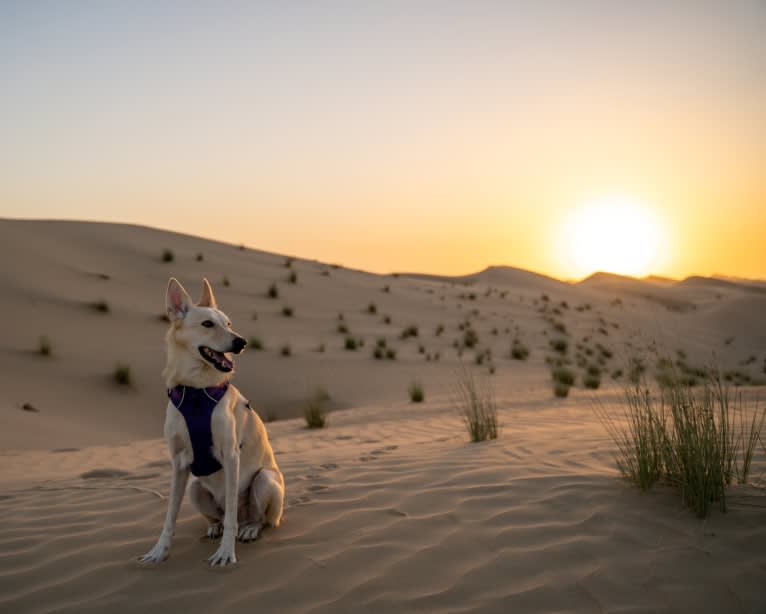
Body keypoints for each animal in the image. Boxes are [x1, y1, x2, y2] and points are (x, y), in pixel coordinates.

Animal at [139, 280, 284, 568]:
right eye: (207, 324)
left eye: (228, 323)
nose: (242, 342)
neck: (196, 392)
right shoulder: (178, 461)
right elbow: (169, 516)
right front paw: (160, 551)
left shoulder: (230, 454)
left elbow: (231, 519)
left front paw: (226, 552)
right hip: (195, 488)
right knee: (218, 516)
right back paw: (214, 527)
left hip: (265, 480)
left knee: (257, 518)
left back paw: (250, 529)